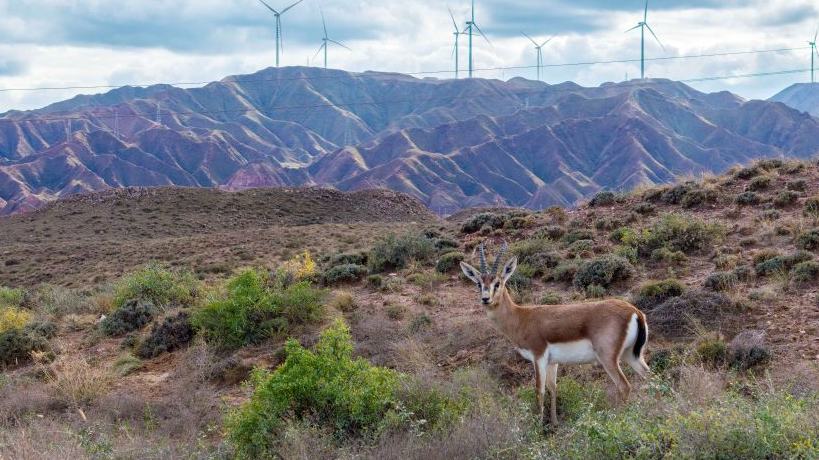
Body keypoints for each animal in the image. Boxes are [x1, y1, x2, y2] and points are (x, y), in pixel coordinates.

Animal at [460, 242, 650, 425]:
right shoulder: (553, 362)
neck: (521, 317)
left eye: (497, 283)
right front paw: (555, 423)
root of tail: (634, 311)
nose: (485, 299)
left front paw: (538, 428)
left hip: (609, 359)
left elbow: (540, 390)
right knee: (649, 376)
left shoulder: (538, 357)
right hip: (630, 355)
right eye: (479, 283)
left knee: (624, 386)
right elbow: (553, 388)